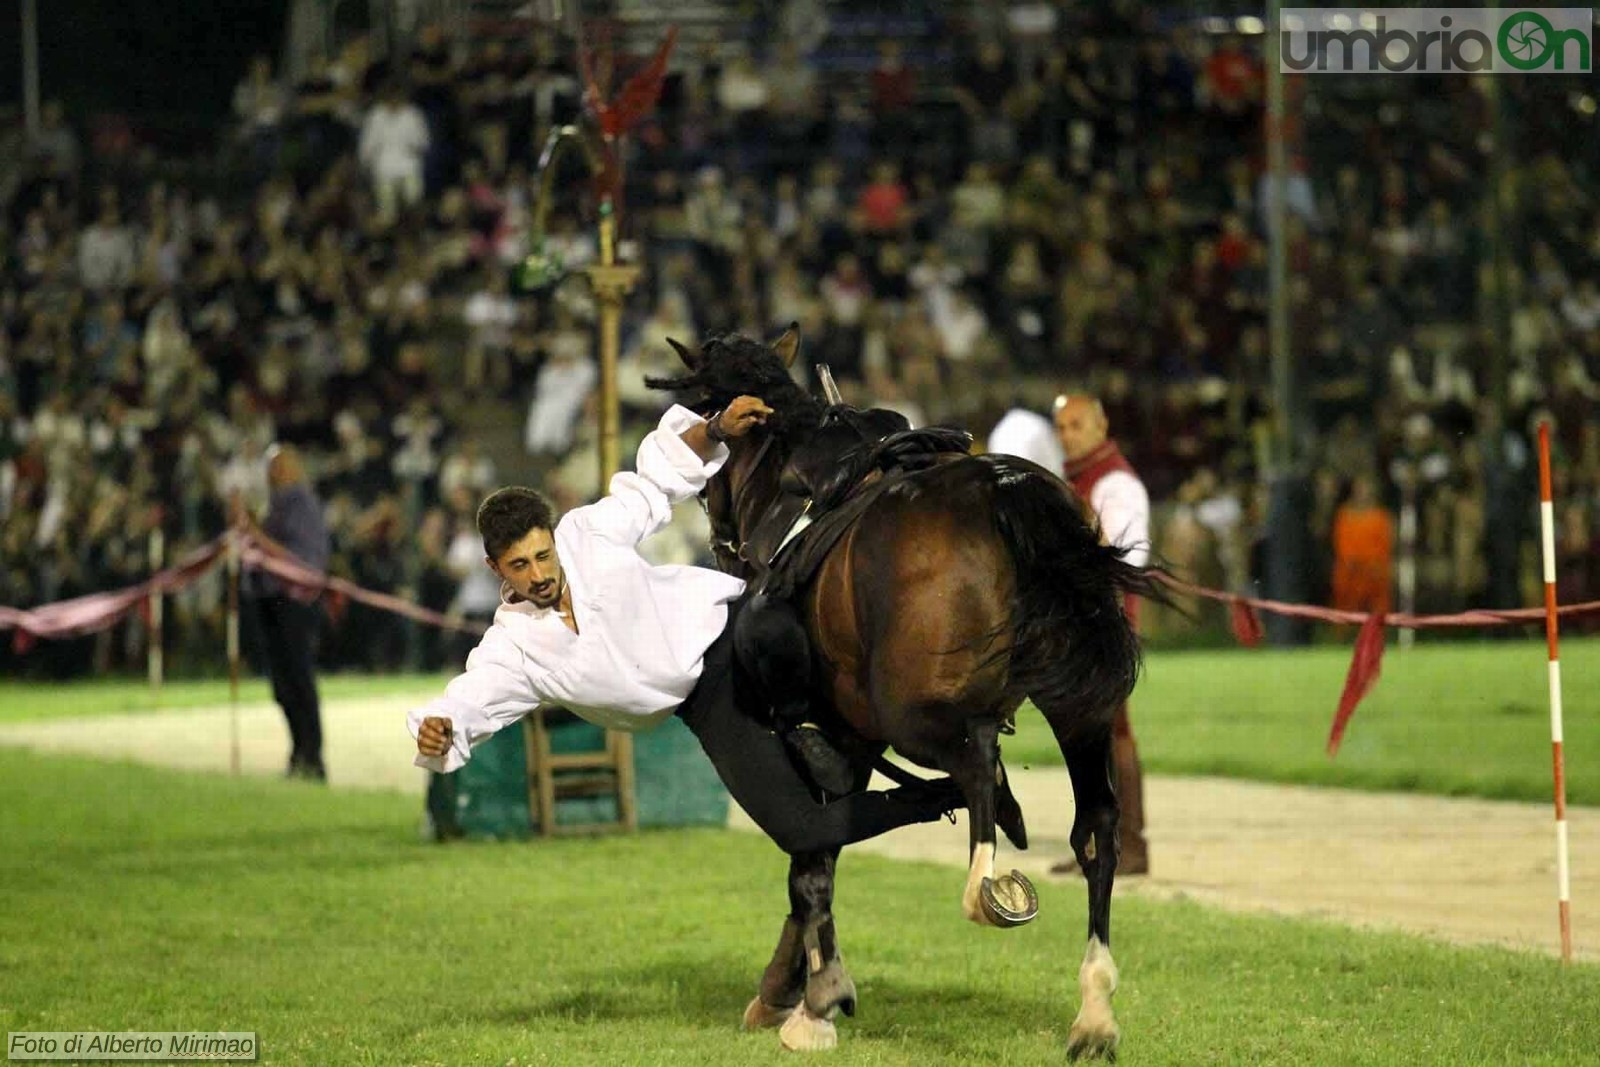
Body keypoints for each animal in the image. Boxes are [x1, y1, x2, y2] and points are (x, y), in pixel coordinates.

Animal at [649, 331, 1164, 1062]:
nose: (718, 534)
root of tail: (1003, 490)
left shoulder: (841, 735)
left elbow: (811, 860)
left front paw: (806, 1001)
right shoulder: (853, 741)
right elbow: (821, 850)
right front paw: (798, 987)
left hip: (917, 718)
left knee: (979, 758)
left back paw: (987, 884)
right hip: (1080, 711)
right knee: (1094, 830)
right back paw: (1093, 1010)